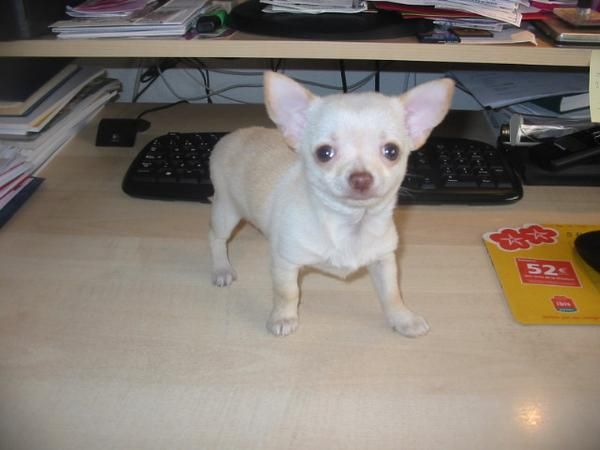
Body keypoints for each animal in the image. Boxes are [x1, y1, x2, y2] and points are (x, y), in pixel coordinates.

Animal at [209, 71, 452, 338]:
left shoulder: (384, 260)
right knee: (216, 238)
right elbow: (287, 292)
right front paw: (283, 317)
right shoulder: (286, 262)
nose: (361, 178)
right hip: (226, 210)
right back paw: (221, 268)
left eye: (392, 151)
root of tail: (231, 135)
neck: (349, 223)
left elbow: (392, 293)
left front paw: (403, 318)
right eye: (324, 153)